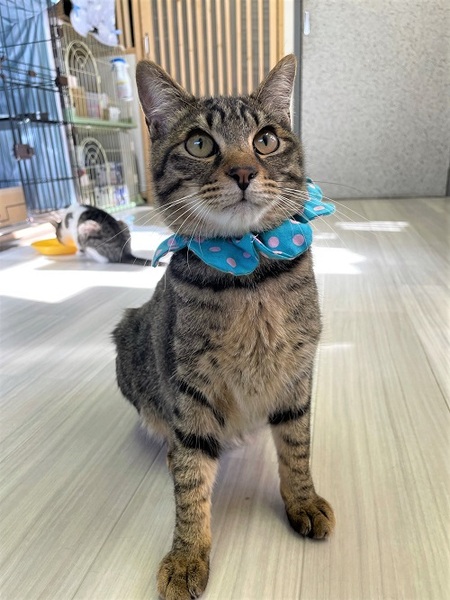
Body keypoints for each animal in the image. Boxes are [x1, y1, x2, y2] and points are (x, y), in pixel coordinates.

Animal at [113, 54, 336, 599]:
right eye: (199, 143)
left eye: (266, 140)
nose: (243, 171)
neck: (248, 273)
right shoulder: (188, 388)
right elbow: (191, 485)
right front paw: (187, 555)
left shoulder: (298, 371)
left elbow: (297, 447)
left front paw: (303, 500)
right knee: (172, 444)